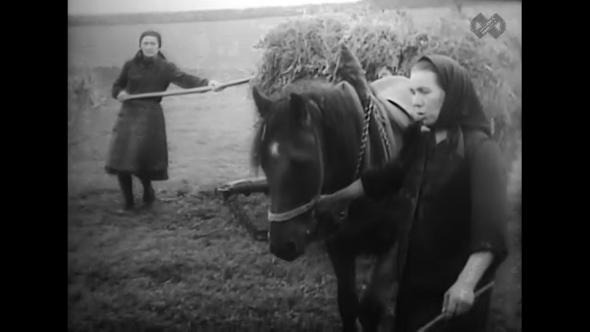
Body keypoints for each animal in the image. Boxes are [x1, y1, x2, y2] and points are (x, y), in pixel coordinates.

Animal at [252, 78, 414, 332]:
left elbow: (371, 309)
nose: (281, 245)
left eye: (301, 162)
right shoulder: (339, 247)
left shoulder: (396, 245)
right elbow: (347, 304)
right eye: (264, 162)